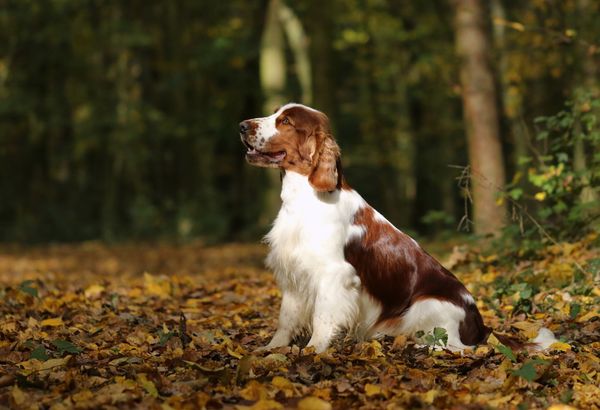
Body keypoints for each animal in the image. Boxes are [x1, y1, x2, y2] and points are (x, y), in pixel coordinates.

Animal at [238, 102, 552, 352]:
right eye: (275, 113)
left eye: (286, 122)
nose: (242, 126)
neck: (306, 197)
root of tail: (480, 324)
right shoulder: (292, 270)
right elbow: (286, 319)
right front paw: (271, 349)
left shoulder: (333, 274)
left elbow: (322, 318)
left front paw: (313, 350)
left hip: (427, 304)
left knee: (454, 346)